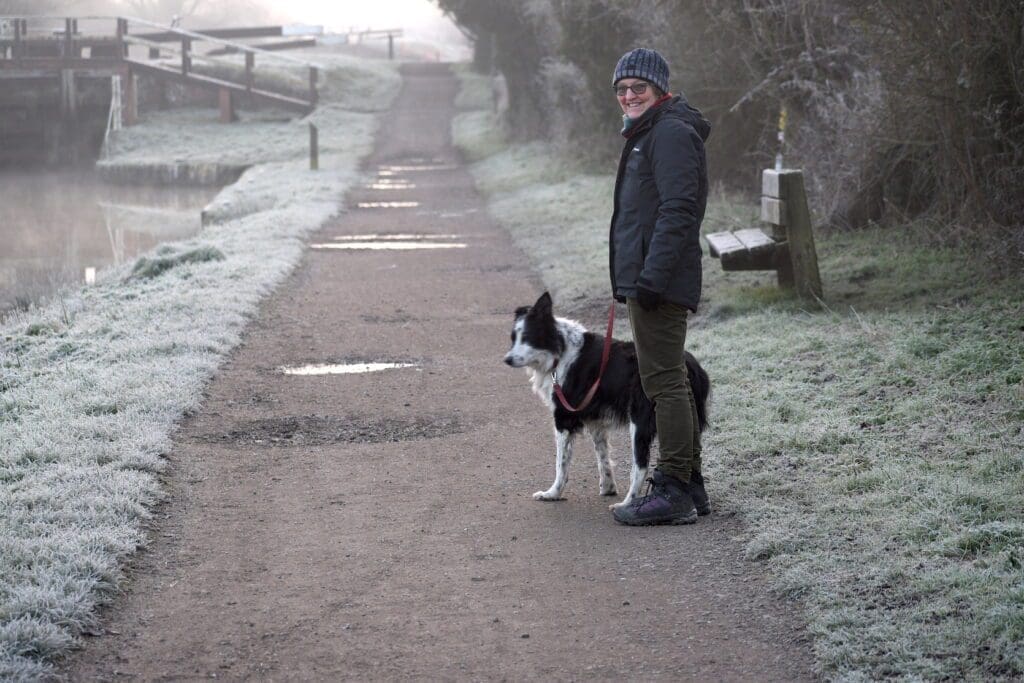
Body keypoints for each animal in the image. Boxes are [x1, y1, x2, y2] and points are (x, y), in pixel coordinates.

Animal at [501, 290, 708, 509]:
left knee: (641, 466)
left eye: (527, 337)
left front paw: (552, 493)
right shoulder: (595, 418)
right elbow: (602, 454)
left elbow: (561, 463)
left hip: (639, 421)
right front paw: (608, 487)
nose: (507, 360)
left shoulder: (564, 417)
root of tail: (692, 365)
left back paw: (626, 504)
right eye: (513, 338)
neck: (560, 350)